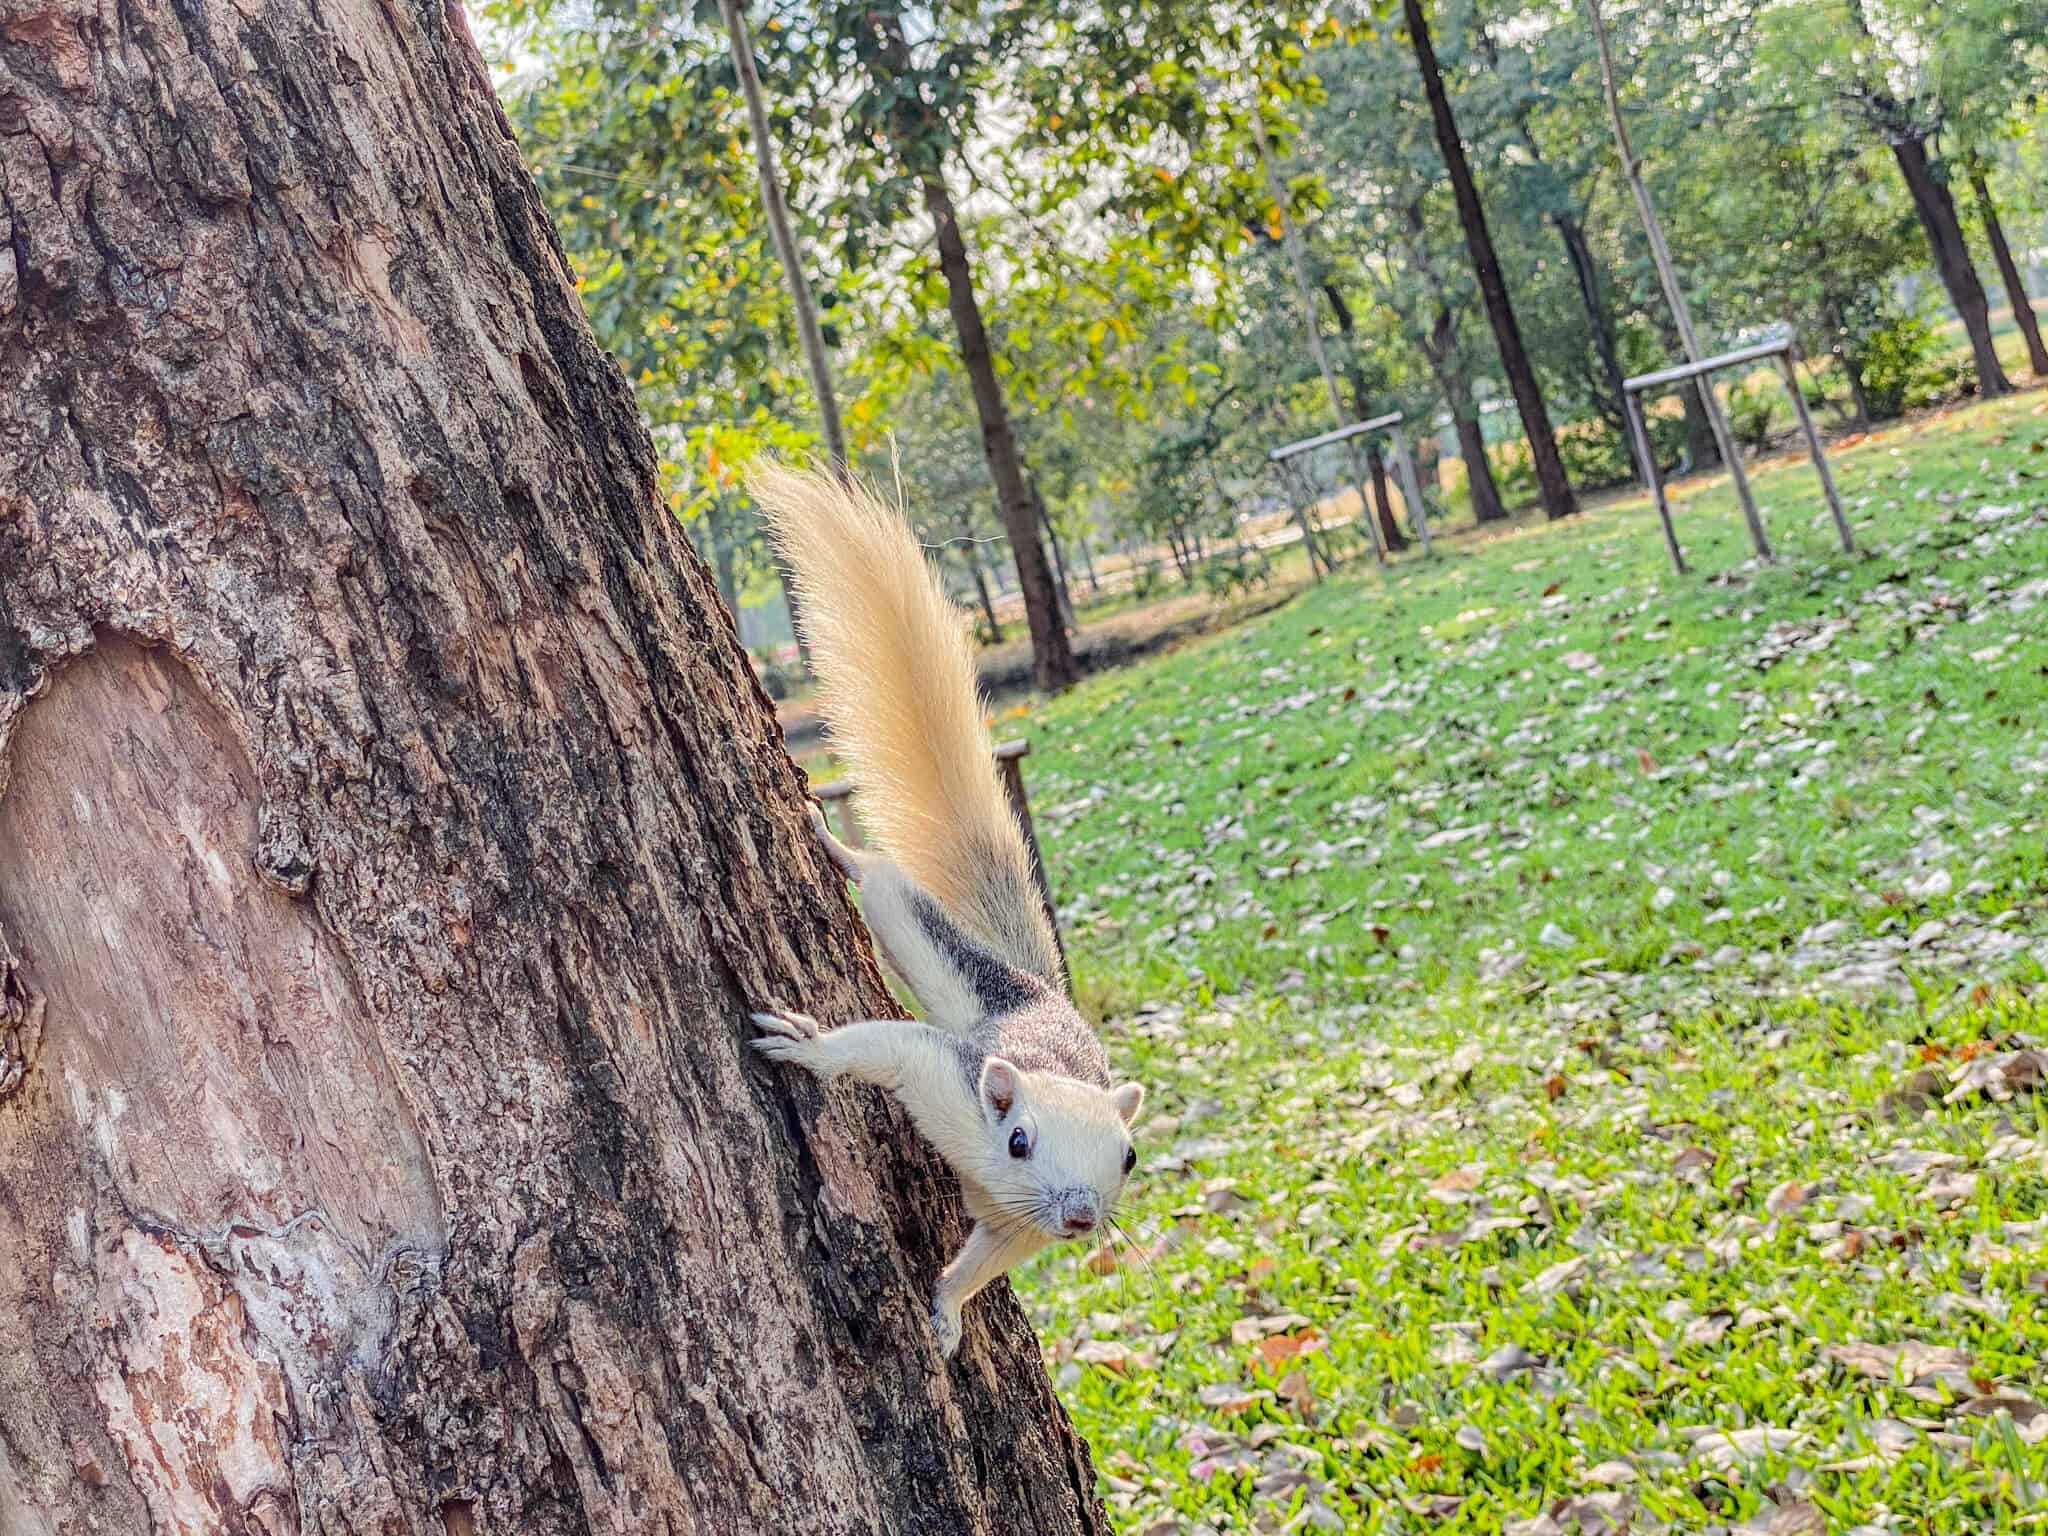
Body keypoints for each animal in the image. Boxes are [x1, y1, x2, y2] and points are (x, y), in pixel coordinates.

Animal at [745, 466, 1146, 1359]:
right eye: (1019, 1140)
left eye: (1131, 1159)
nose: (1079, 1217)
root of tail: (1035, 987)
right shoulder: (948, 1084)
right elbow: (886, 1049)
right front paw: (807, 1047)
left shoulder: (1014, 1226)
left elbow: (983, 1263)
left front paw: (947, 1309)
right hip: (912, 926)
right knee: (886, 887)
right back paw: (835, 846)